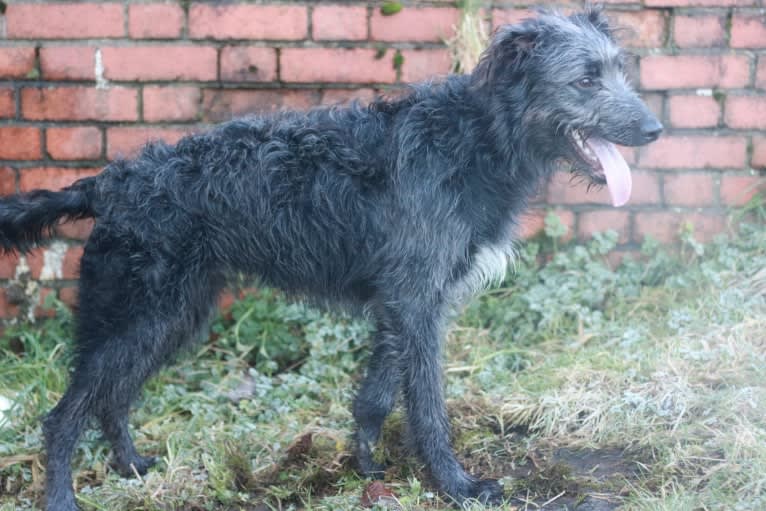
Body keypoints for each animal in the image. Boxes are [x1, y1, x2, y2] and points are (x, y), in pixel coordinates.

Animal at [0, 9, 660, 511]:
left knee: (111, 398)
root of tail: (107, 182)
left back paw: (132, 465)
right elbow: (426, 404)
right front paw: (457, 485)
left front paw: (365, 465)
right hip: (140, 315)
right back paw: (61, 497)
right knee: (65, 415)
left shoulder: (400, 303)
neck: (474, 137)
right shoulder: (417, 302)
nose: (656, 129)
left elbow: (376, 393)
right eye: (585, 80)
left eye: (618, 71)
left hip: (171, 316)